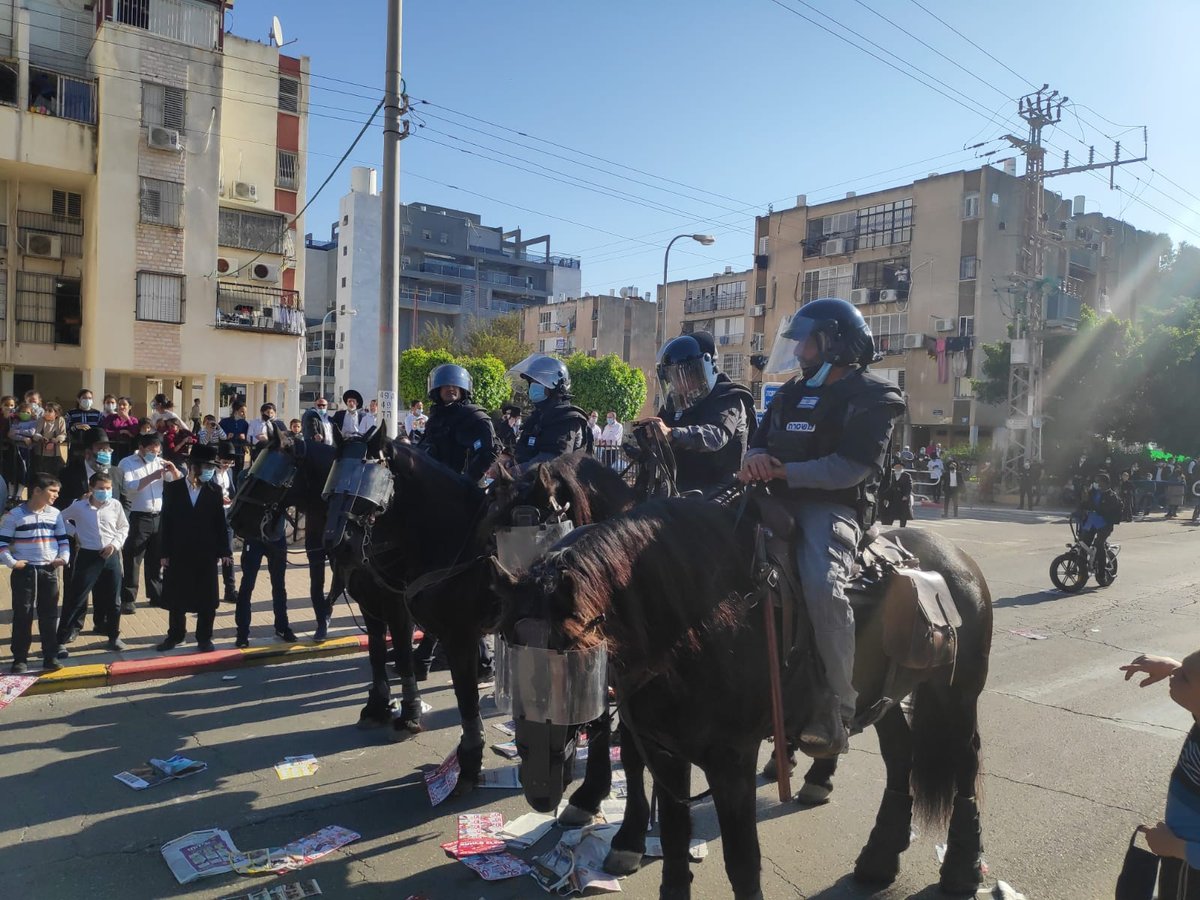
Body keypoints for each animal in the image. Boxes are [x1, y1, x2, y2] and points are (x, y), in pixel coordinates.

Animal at [496, 496, 993, 900]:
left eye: (575, 674)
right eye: (508, 658)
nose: (539, 787)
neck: (700, 626)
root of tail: (955, 557)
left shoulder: (731, 761)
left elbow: (741, 861)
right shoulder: (666, 752)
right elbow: (674, 845)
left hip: (958, 694)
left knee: (964, 761)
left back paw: (962, 867)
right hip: (883, 698)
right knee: (900, 753)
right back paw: (879, 857)